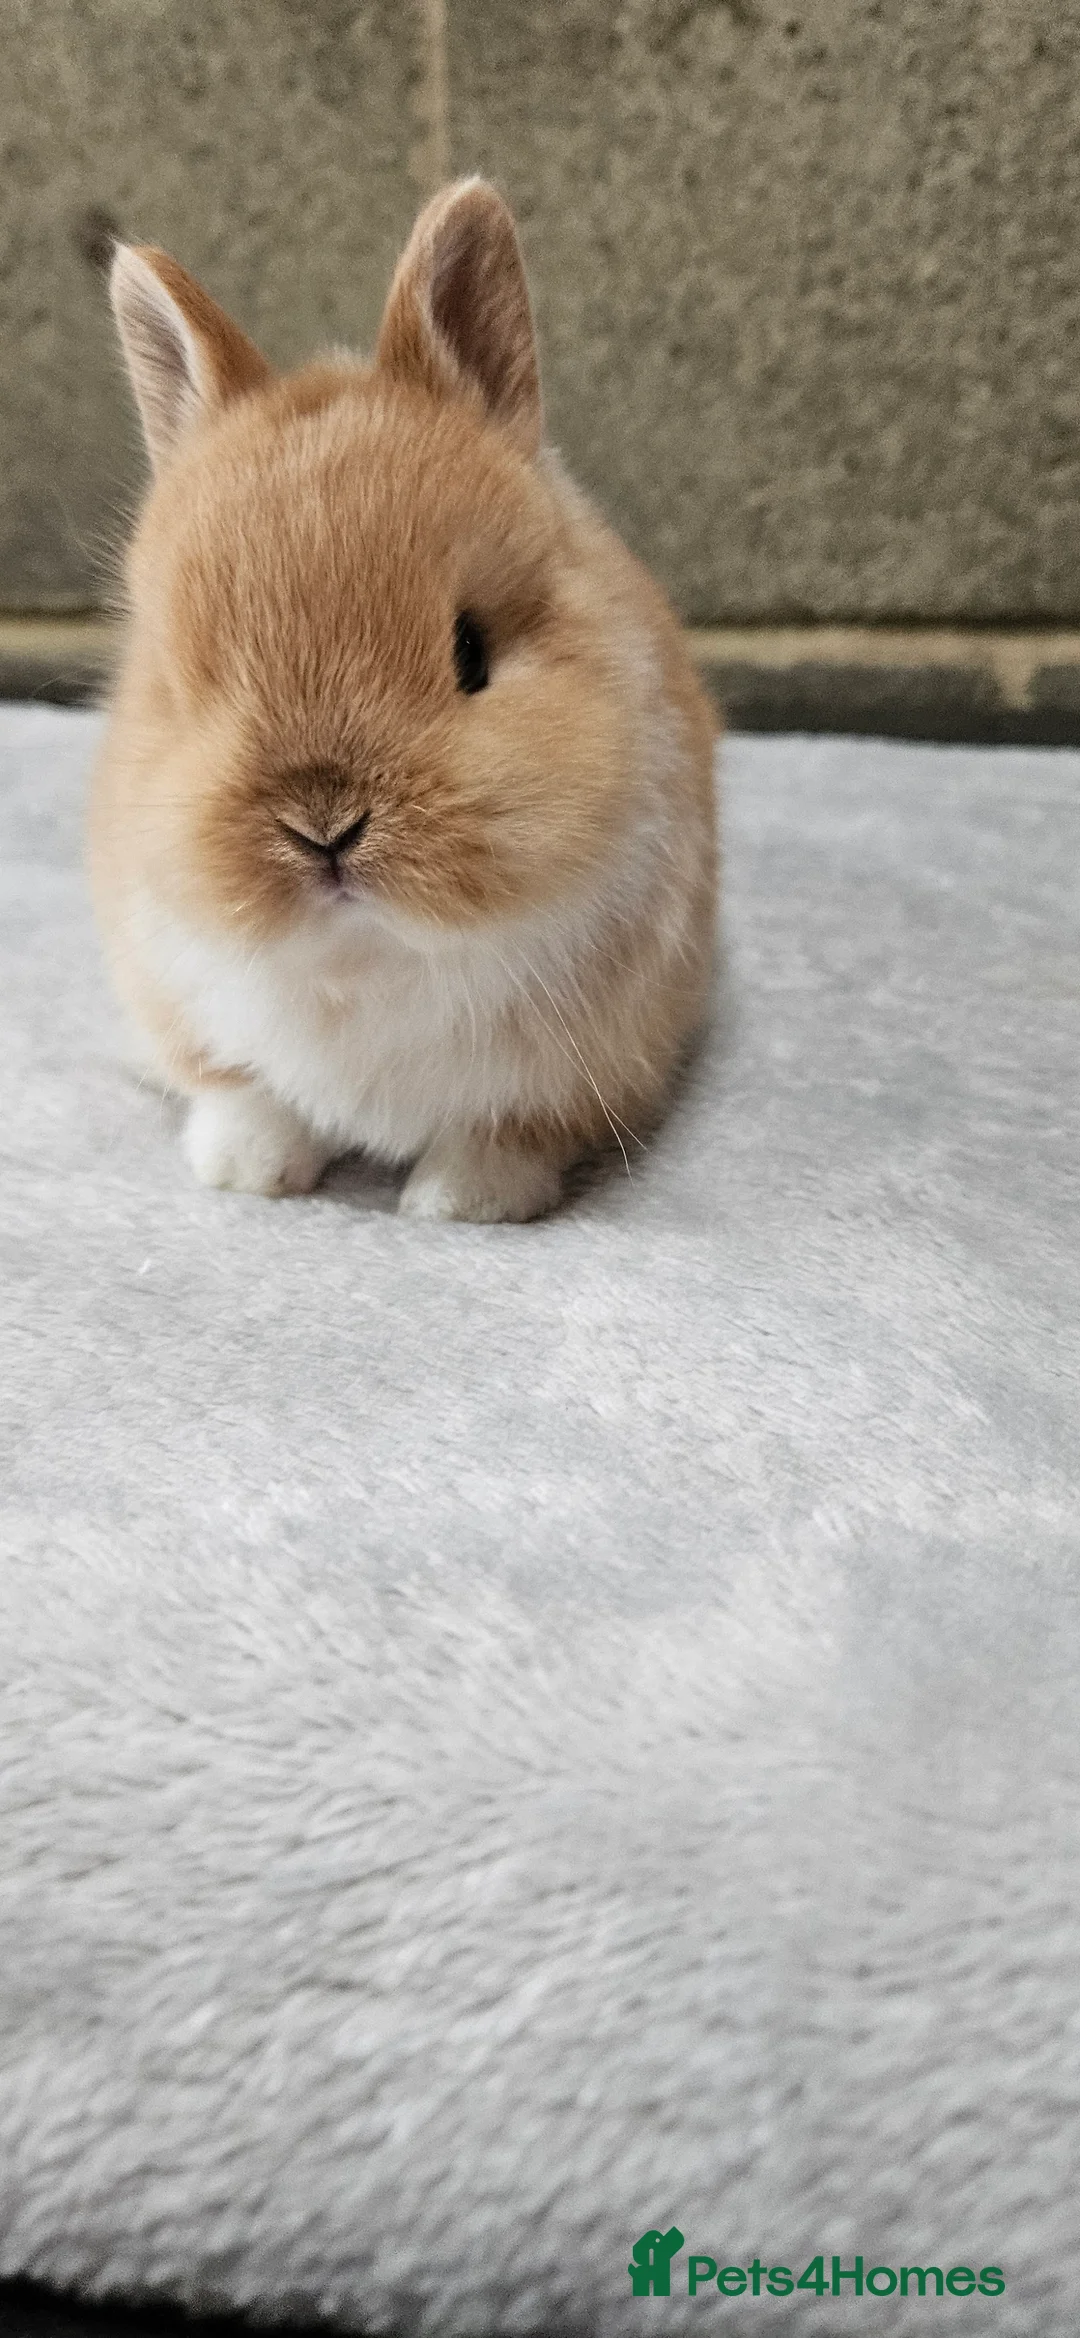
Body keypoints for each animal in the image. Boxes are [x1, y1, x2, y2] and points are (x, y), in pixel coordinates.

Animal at [90, 179, 718, 1222]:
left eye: (471, 653)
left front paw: (457, 1204)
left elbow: (507, 1132)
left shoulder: (578, 1067)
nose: (325, 826)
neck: (366, 958)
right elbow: (247, 1091)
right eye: (192, 683)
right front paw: (246, 1171)